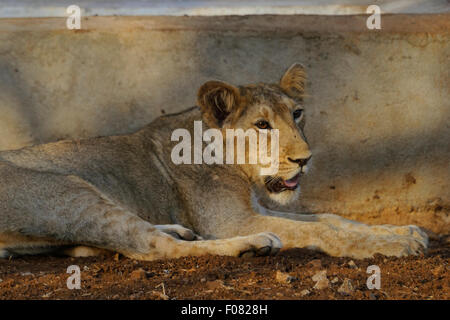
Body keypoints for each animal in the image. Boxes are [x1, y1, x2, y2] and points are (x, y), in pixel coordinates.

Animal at [0, 63, 428, 260]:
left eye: (298, 114)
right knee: (152, 247)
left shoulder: (254, 209)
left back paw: (181, 230)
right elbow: (324, 230)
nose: (304, 160)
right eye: (261, 125)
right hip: (72, 192)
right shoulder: (231, 221)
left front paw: (402, 230)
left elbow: (332, 219)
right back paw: (254, 245)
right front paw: (396, 244)